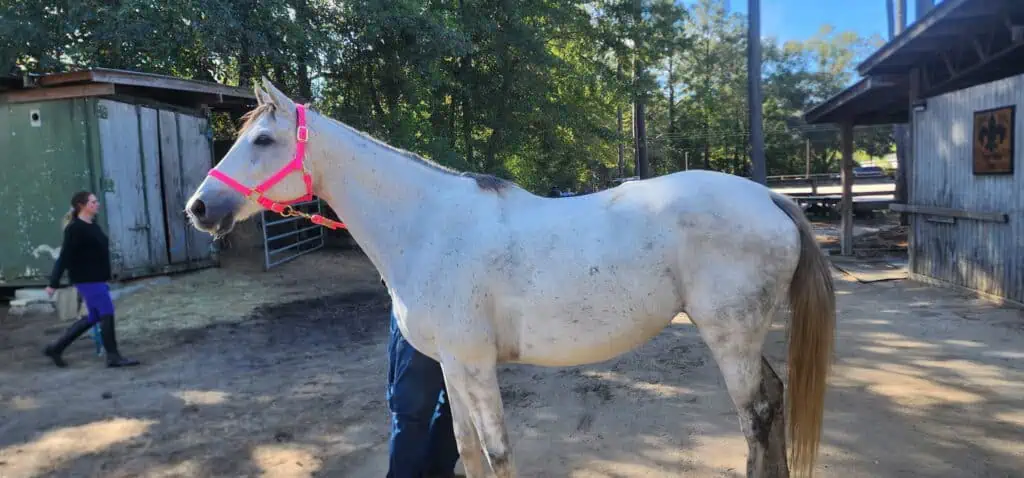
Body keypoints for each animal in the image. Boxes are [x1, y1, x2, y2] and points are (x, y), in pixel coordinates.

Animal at [185, 77, 836, 478]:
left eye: (262, 139)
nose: (199, 207)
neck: (429, 224)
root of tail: (768, 196)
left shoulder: (475, 365)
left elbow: (497, 451)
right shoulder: (451, 365)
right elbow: (468, 450)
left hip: (730, 338)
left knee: (755, 416)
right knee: (774, 401)